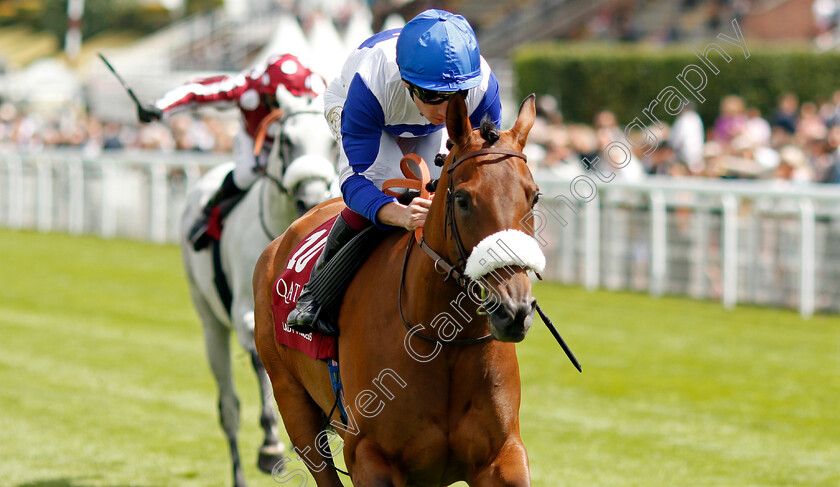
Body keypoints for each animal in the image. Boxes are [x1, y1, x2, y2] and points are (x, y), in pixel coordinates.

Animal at [253, 93, 540, 486]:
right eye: (463, 199)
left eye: (534, 197)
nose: (514, 310)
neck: (444, 339)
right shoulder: (371, 458)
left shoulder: (502, 455)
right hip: (293, 403)